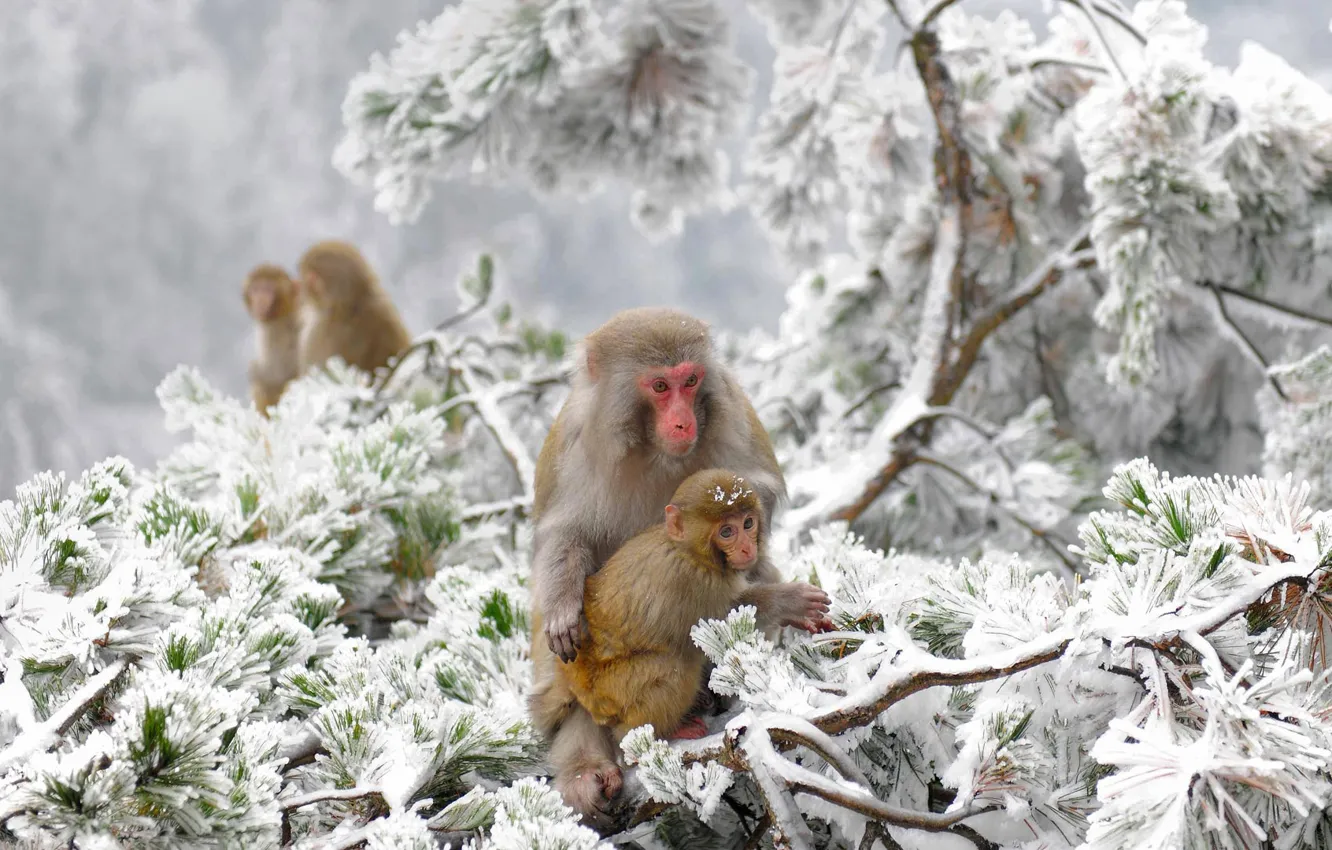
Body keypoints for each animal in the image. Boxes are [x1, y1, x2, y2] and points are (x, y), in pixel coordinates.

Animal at [530, 469, 831, 829]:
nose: (746, 547)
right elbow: (722, 618)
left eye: (747, 523)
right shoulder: (694, 581)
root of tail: (574, 682)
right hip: (612, 689)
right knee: (674, 665)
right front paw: (790, 601)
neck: (688, 551)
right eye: (726, 532)